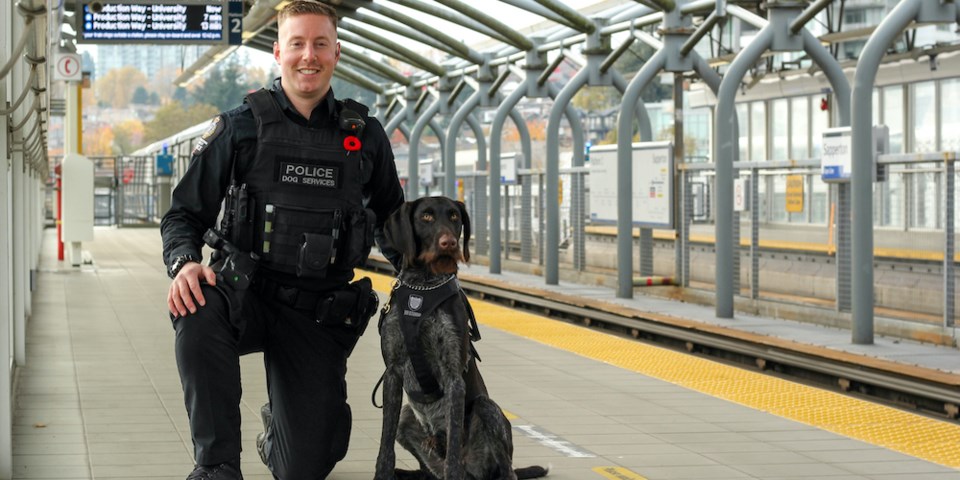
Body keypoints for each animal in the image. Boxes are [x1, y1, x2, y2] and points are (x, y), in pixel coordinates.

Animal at [376, 196, 548, 480]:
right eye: (426, 216)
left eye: (454, 216)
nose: (450, 243)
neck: (423, 286)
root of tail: (475, 474)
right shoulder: (392, 372)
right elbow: (385, 444)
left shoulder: (453, 376)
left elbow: (454, 442)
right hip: (407, 418)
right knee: (427, 468)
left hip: (486, 407)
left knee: (505, 470)